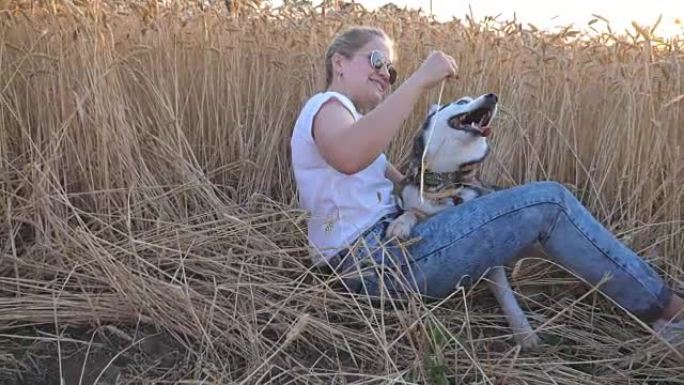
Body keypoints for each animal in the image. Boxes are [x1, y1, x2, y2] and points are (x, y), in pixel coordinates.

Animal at [388, 92, 544, 348]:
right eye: (461, 102)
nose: (492, 96)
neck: (445, 183)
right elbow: (411, 212)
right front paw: (400, 224)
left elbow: (505, 294)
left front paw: (524, 332)